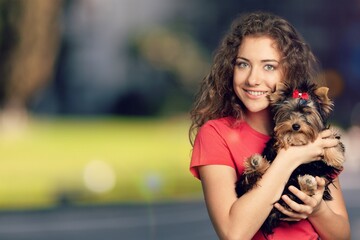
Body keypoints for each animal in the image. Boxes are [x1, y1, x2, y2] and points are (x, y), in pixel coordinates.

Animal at [235, 80, 344, 236]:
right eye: (288, 111)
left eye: (307, 113)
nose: (296, 125)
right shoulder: (273, 146)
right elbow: (280, 140)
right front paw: (286, 139)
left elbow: (331, 140)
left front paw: (335, 156)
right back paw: (256, 164)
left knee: (299, 196)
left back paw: (306, 182)